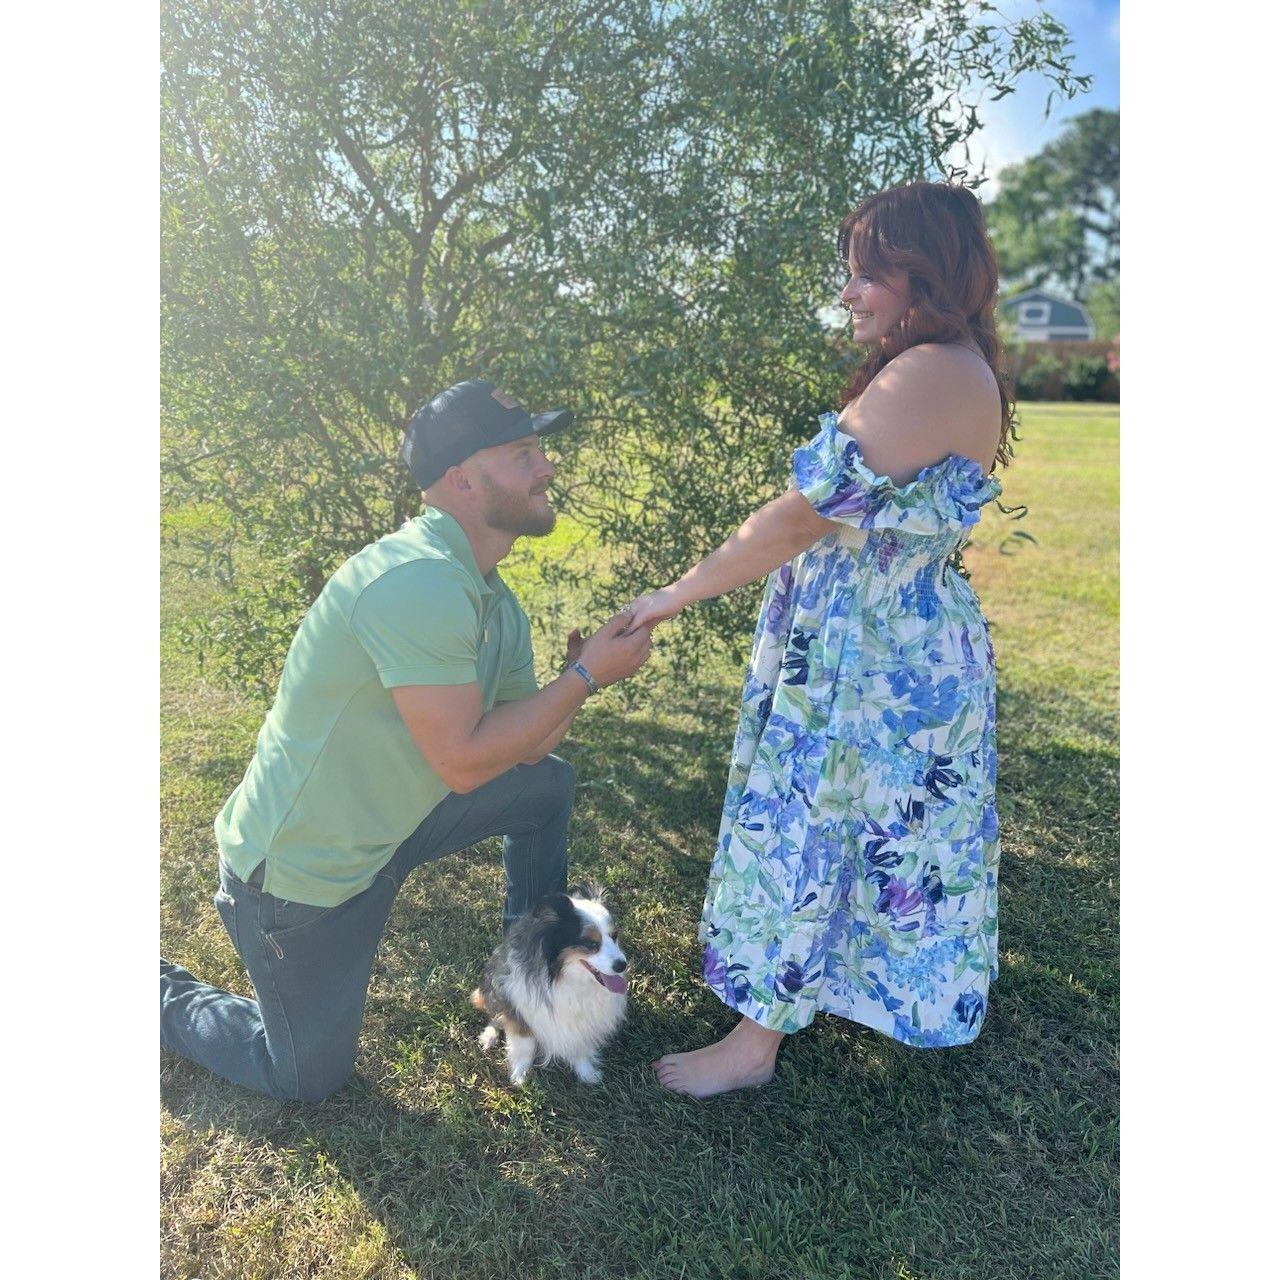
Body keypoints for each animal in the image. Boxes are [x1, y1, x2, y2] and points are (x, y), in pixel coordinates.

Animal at [471, 886, 628, 1087]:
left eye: (614, 936)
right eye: (591, 943)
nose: (622, 965)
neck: (563, 977)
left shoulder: (581, 1020)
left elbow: (580, 1047)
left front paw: (586, 1073)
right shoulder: (519, 1011)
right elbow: (524, 1046)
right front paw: (520, 1075)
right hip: (490, 990)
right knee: (495, 1015)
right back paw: (489, 1036)